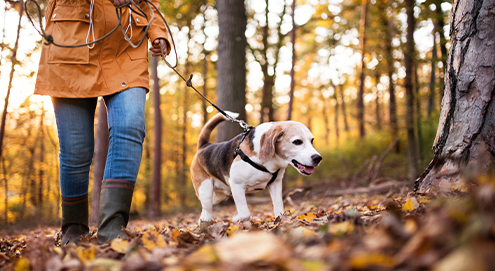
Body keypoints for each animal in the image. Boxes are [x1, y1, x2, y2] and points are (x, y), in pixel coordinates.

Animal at [190, 112, 322, 223]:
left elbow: (279, 209)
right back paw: (207, 221)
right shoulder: (237, 186)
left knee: (205, 209)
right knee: (207, 208)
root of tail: (204, 146)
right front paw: (239, 220)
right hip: (205, 190)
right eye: (297, 142)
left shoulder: (276, 184)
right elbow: (245, 214)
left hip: (218, 195)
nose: (318, 158)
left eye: (312, 140)